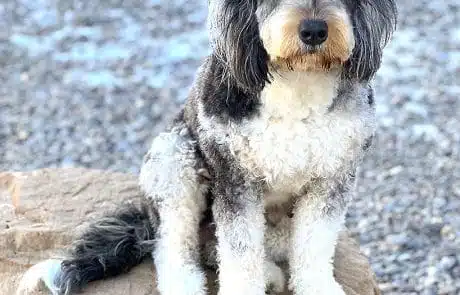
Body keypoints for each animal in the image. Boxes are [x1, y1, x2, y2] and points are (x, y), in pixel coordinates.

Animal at [18, 0, 398, 295]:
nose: (315, 30)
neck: (298, 81)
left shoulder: (332, 177)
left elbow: (315, 243)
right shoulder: (234, 178)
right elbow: (240, 251)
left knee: (239, 246)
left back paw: (270, 273)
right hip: (174, 157)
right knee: (174, 246)